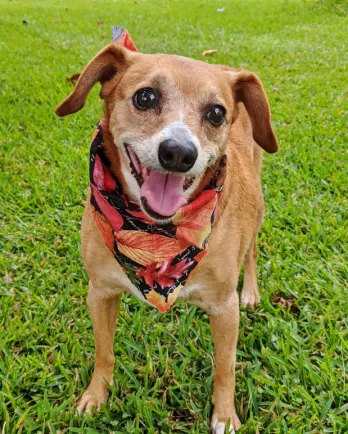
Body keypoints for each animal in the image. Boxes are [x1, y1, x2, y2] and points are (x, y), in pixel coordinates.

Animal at [56, 38, 278, 434]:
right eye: (145, 97)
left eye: (216, 113)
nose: (178, 152)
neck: (159, 233)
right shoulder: (100, 291)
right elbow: (104, 352)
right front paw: (96, 396)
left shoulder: (224, 308)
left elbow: (225, 369)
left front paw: (225, 415)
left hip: (257, 209)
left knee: (251, 251)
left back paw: (251, 291)